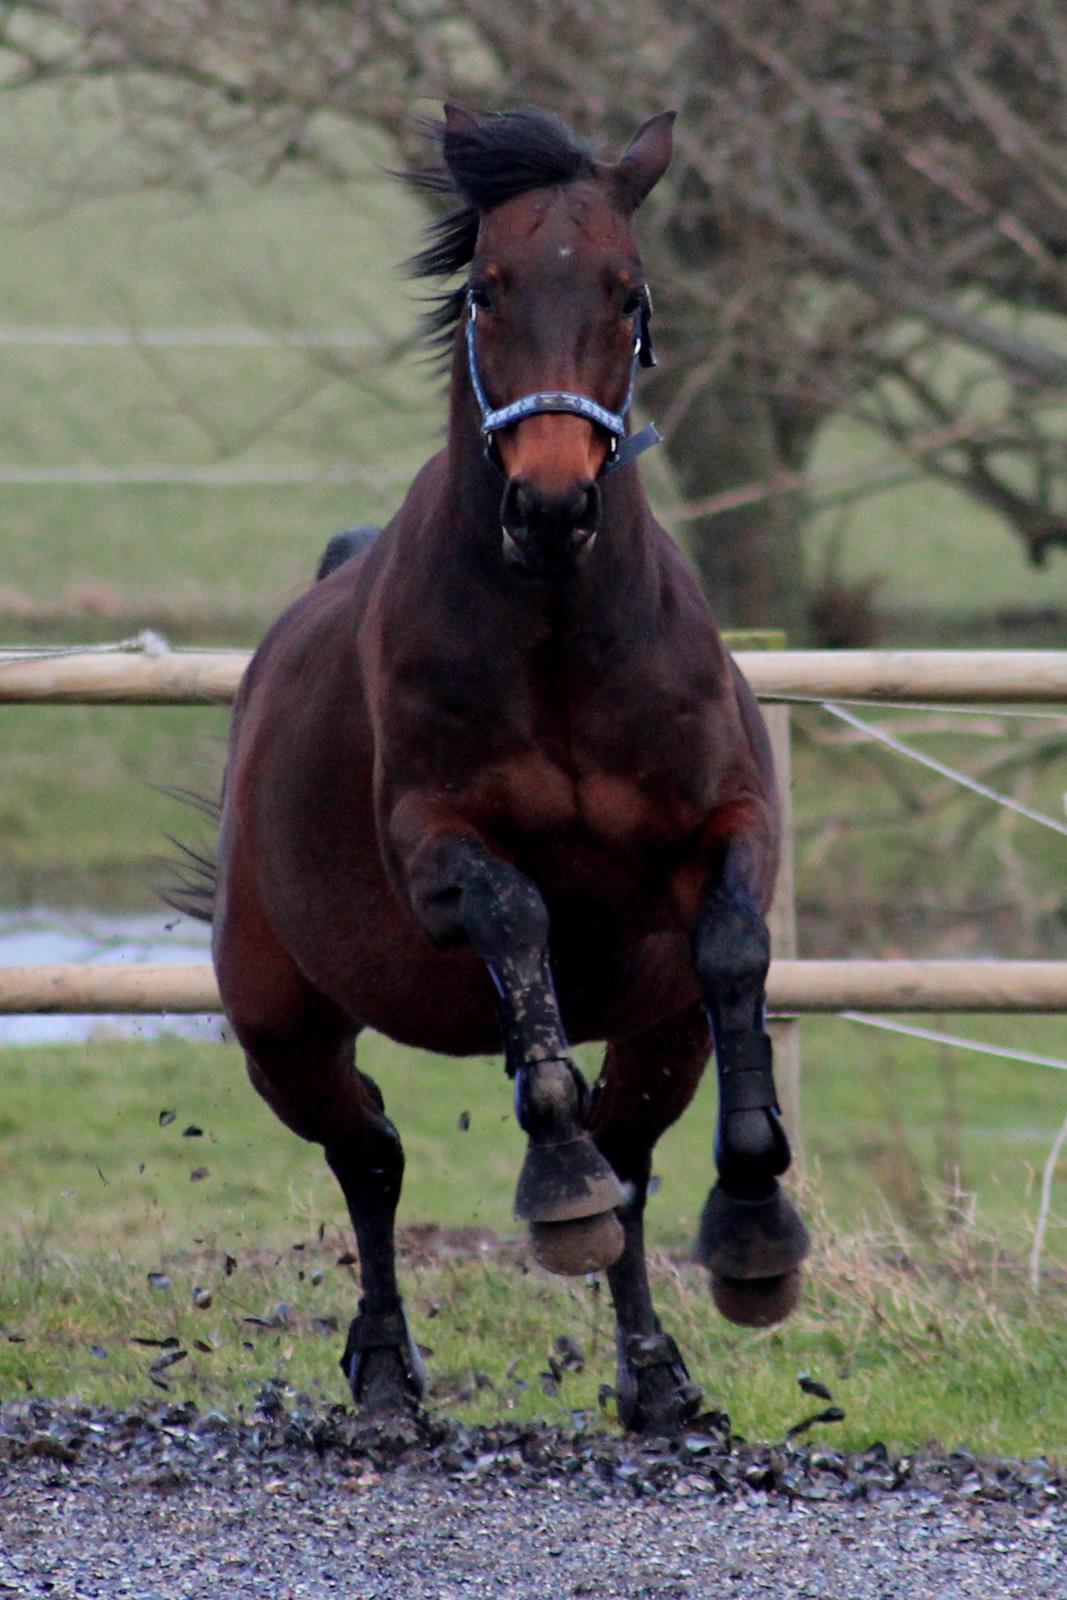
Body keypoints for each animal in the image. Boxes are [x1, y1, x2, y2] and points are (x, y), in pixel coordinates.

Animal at [207, 112, 809, 1440]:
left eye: (627, 292)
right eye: (486, 289)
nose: (546, 503)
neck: (557, 633)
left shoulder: (726, 830)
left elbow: (734, 946)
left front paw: (755, 1236)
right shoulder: (433, 849)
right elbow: (516, 915)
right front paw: (554, 1177)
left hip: (660, 1025)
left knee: (631, 1153)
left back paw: (658, 1377)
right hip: (277, 1022)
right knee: (369, 1153)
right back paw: (387, 1372)